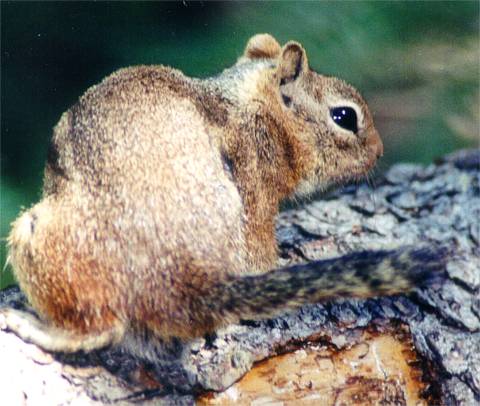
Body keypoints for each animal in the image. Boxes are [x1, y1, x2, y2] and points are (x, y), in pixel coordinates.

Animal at [1, 34, 449, 357]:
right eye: (344, 117)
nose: (380, 151)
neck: (245, 100)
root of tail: (184, 278)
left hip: (35, 236)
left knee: (102, 329)